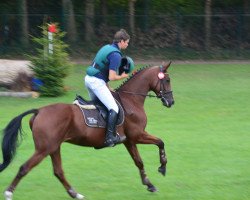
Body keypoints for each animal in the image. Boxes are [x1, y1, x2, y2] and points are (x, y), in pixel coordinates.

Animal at [0, 61, 174, 199]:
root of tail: (39, 111)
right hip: (44, 148)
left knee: (58, 171)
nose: (171, 102)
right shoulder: (137, 135)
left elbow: (139, 161)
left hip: (54, 147)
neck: (131, 100)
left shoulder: (129, 140)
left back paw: (75, 194)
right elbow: (161, 142)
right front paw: (163, 167)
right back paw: (9, 193)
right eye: (167, 80)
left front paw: (149, 184)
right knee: (25, 168)